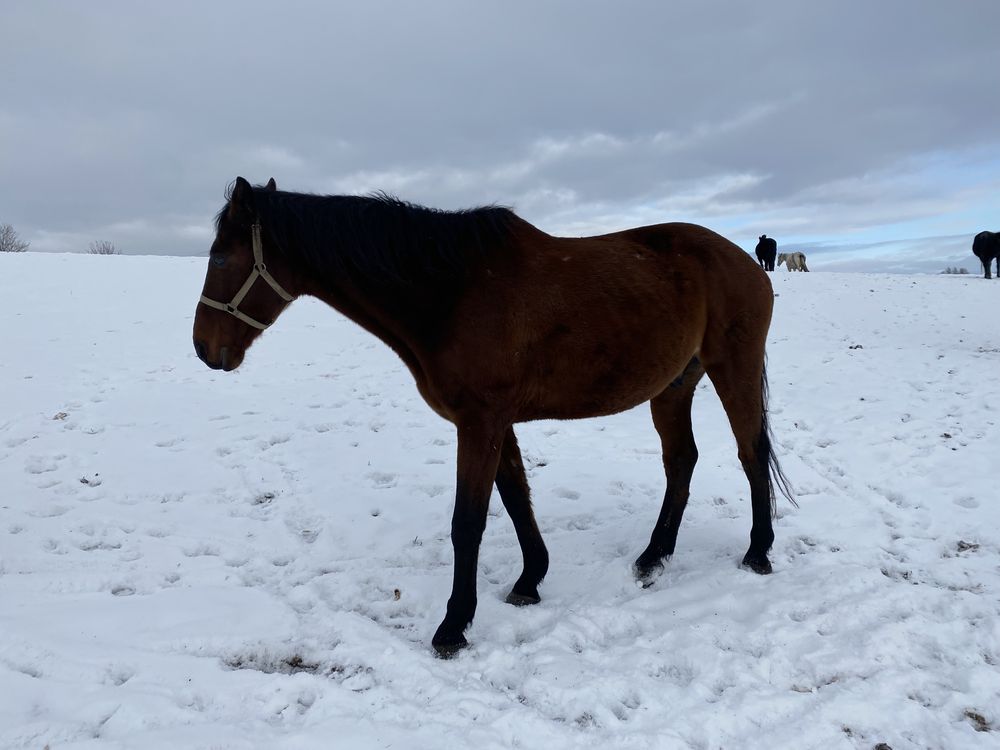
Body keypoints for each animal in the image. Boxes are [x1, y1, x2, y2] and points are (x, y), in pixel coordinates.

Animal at [191, 178, 792, 656]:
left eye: (220, 259)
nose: (203, 347)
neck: (450, 293)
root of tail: (749, 264)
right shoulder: (495, 423)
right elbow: (516, 497)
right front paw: (530, 579)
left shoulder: (479, 423)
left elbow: (469, 521)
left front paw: (454, 625)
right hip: (673, 386)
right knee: (681, 461)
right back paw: (654, 555)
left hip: (731, 368)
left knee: (750, 452)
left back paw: (757, 551)